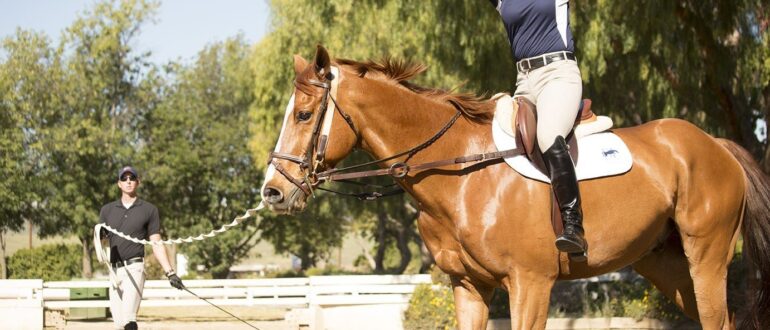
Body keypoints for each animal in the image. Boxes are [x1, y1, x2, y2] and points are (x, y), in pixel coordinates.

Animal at [262, 46, 768, 330]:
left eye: (303, 115)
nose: (273, 192)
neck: (462, 174)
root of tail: (716, 145)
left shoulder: (531, 284)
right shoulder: (469, 287)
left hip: (707, 256)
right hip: (663, 263)